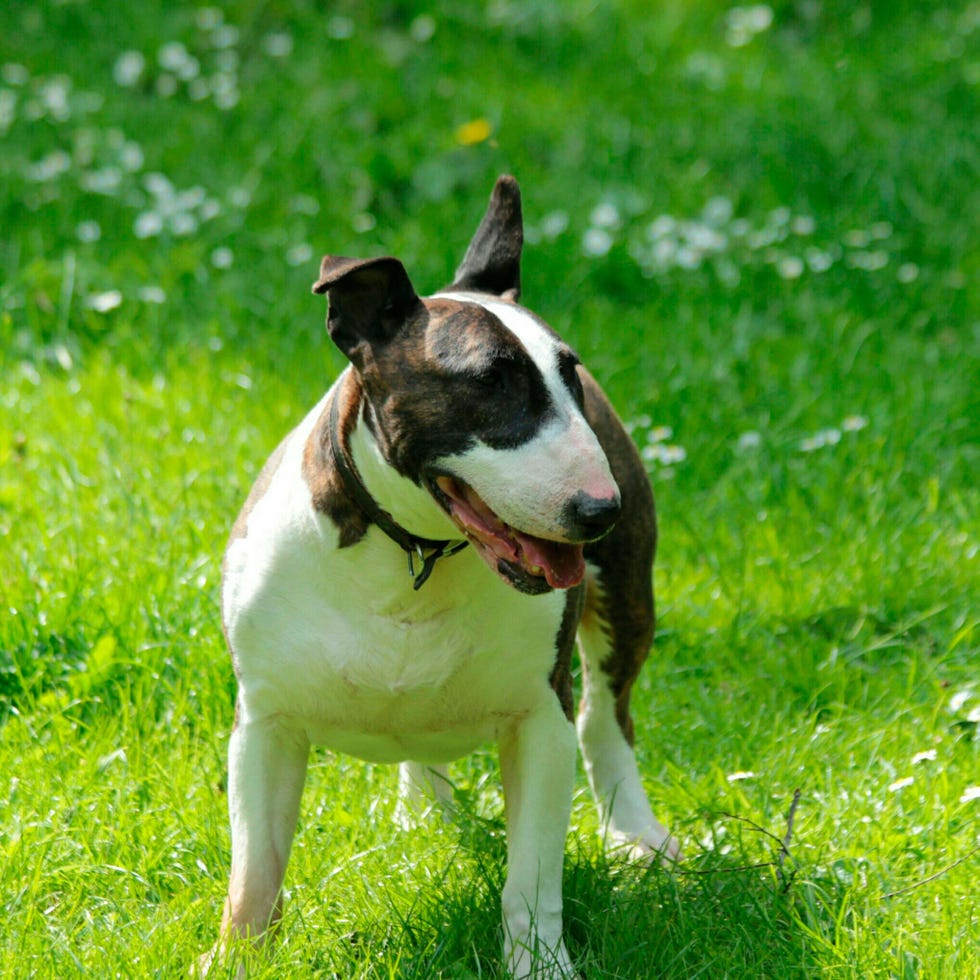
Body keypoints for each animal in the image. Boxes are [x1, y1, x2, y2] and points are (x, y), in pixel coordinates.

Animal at [212, 176, 676, 980]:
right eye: (488, 381)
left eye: (570, 375)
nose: (601, 510)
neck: (415, 558)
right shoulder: (264, 724)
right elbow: (255, 872)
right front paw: (238, 959)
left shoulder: (539, 719)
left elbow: (532, 878)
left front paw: (542, 965)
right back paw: (424, 813)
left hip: (624, 600)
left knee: (606, 718)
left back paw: (635, 836)